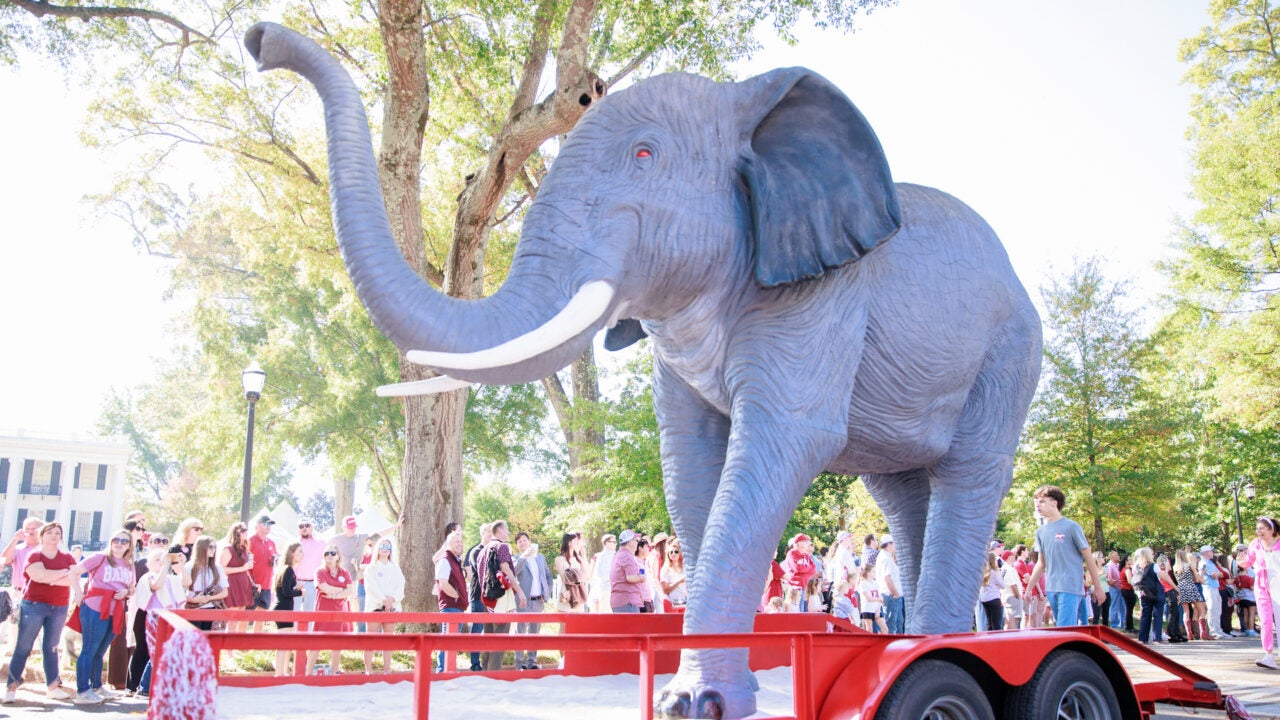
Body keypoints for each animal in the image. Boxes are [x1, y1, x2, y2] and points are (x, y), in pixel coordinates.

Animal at [245, 22, 1042, 719]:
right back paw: (930, 639)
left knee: (966, 474)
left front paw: (699, 701)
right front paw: (709, 698)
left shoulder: (825, 294)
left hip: (1009, 354)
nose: (260, 42)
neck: (749, 104)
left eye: (644, 154)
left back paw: (940, 643)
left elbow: (785, 441)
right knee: (900, 492)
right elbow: (689, 466)